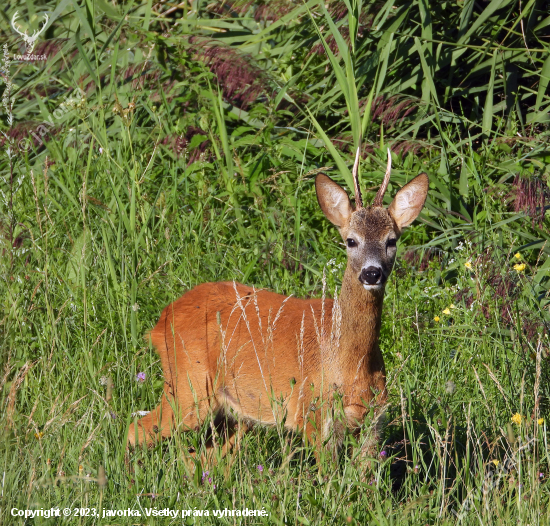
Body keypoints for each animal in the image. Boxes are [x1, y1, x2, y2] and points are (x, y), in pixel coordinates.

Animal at [129, 151, 432, 464]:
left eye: (391, 241)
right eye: (351, 240)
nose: (372, 273)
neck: (350, 363)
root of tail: (162, 319)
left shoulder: (374, 421)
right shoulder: (311, 413)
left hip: (230, 411)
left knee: (206, 456)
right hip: (188, 385)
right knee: (136, 430)